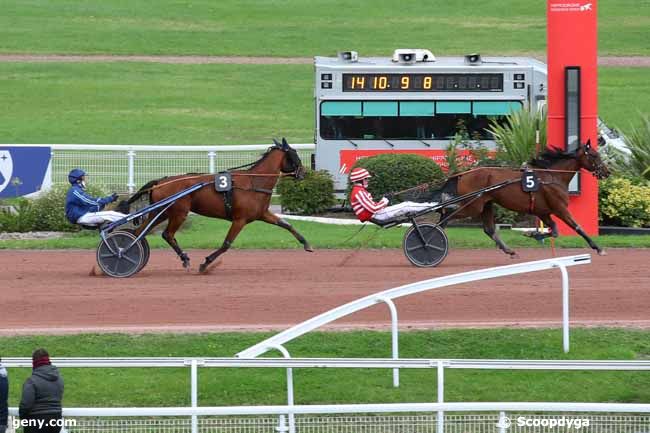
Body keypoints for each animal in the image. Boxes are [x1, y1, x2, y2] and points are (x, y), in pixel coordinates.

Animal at [118, 139, 312, 274]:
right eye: (295, 155)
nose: (304, 173)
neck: (253, 182)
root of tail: (160, 182)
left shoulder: (262, 214)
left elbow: (286, 224)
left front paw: (306, 244)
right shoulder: (239, 219)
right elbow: (226, 244)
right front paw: (205, 264)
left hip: (162, 211)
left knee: (139, 233)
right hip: (179, 213)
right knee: (167, 234)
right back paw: (182, 258)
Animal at [436, 142, 608, 255]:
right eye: (595, 155)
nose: (607, 172)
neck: (553, 176)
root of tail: (462, 174)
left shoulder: (542, 211)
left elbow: (554, 231)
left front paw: (533, 234)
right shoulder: (560, 209)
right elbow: (577, 227)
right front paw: (598, 248)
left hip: (486, 204)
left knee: (489, 229)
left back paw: (509, 250)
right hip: (473, 206)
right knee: (445, 216)